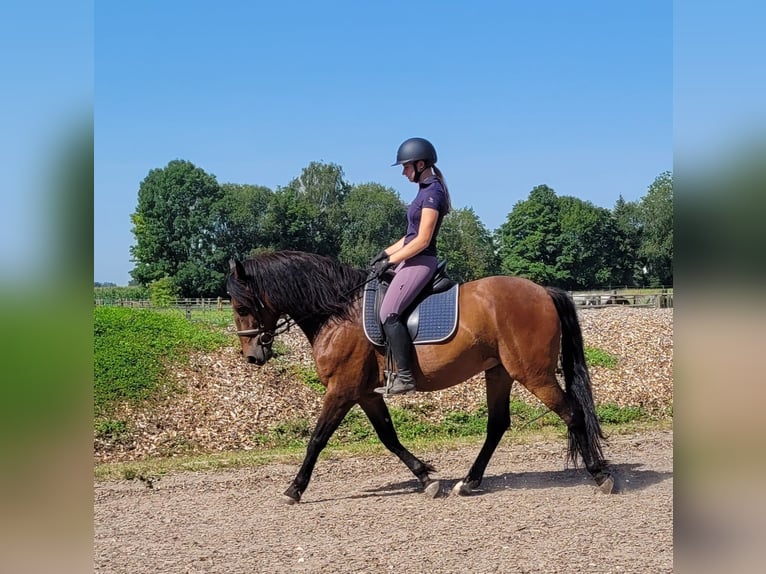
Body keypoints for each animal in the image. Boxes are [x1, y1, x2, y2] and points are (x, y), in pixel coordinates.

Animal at [225, 252, 616, 504]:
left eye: (242, 306)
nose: (252, 356)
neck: (337, 313)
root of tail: (543, 291)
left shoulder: (342, 390)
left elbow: (317, 439)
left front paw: (294, 489)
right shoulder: (366, 393)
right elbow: (388, 437)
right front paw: (426, 477)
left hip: (533, 374)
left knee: (572, 413)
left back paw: (601, 475)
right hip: (499, 372)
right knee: (497, 425)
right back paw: (468, 482)